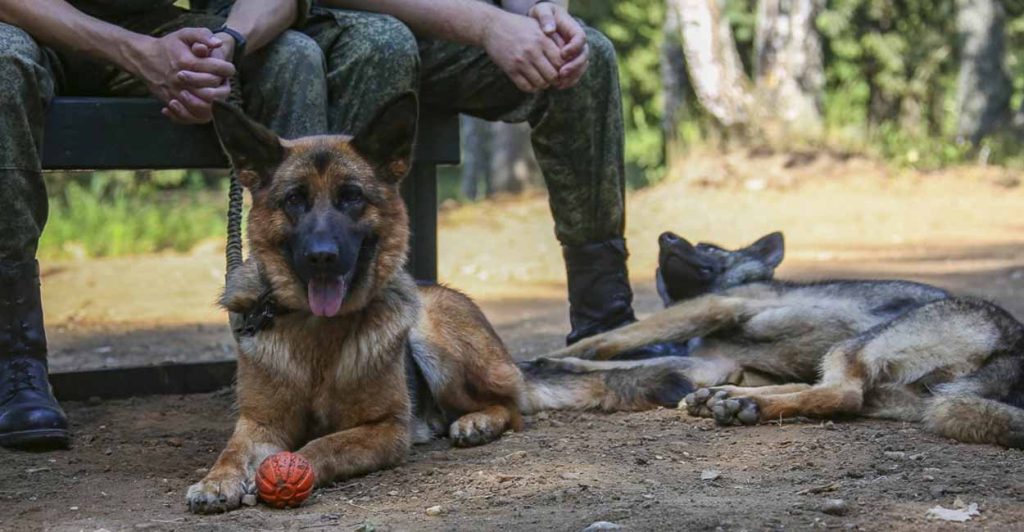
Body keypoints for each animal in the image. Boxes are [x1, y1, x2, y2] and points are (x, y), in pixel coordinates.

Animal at [186, 93, 696, 513]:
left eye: (351, 197)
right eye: (295, 200)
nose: (322, 257)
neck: (316, 334)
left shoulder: (385, 429)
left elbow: (318, 447)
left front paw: (287, 469)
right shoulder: (259, 423)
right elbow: (232, 451)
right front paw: (217, 481)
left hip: (434, 338)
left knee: (512, 407)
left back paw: (477, 423)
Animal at [548, 230, 1024, 446]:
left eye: (711, 249)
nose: (665, 235)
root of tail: (1014, 346)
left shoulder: (712, 306)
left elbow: (617, 337)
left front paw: (553, 354)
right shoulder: (710, 361)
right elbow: (625, 359)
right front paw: (561, 363)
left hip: (856, 347)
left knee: (840, 395)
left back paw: (746, 404)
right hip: (887, 384)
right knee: (830, 394)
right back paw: (726, 399)